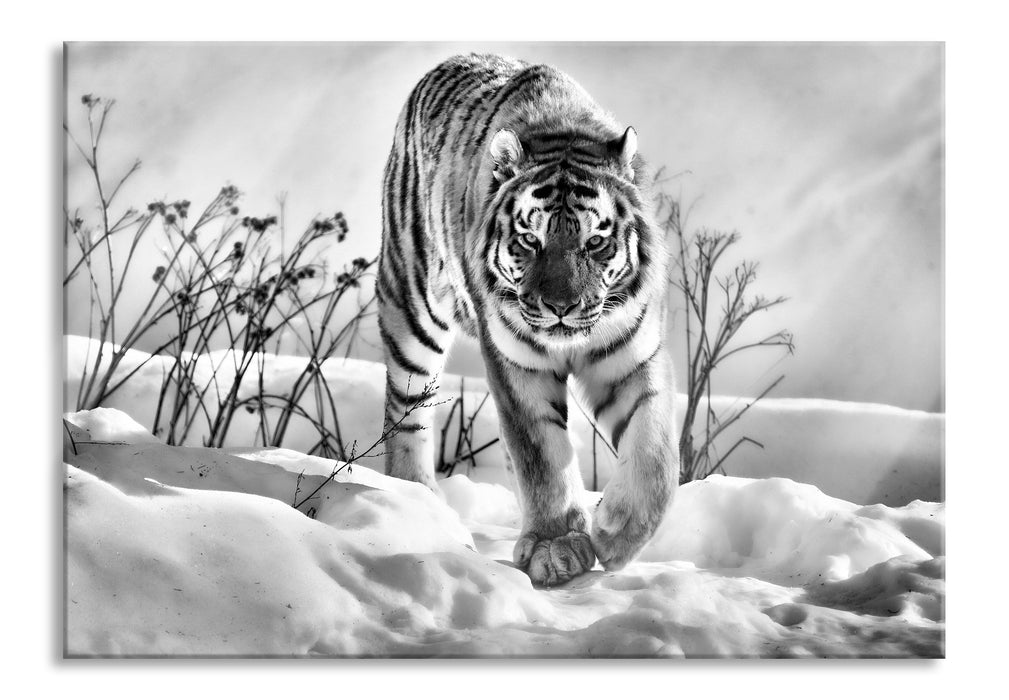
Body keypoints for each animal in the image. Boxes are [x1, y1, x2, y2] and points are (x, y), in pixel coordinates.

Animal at [377, 53, 679, 586]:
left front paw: (615, 532)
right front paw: (555, 546)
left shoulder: (633, 355)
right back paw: (418, 501)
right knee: (406, 411)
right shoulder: (516, 363)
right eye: (529, 241)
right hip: (412, 309)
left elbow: (656, 452)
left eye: (594, 242)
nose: (560, 307)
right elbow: (541, 453)